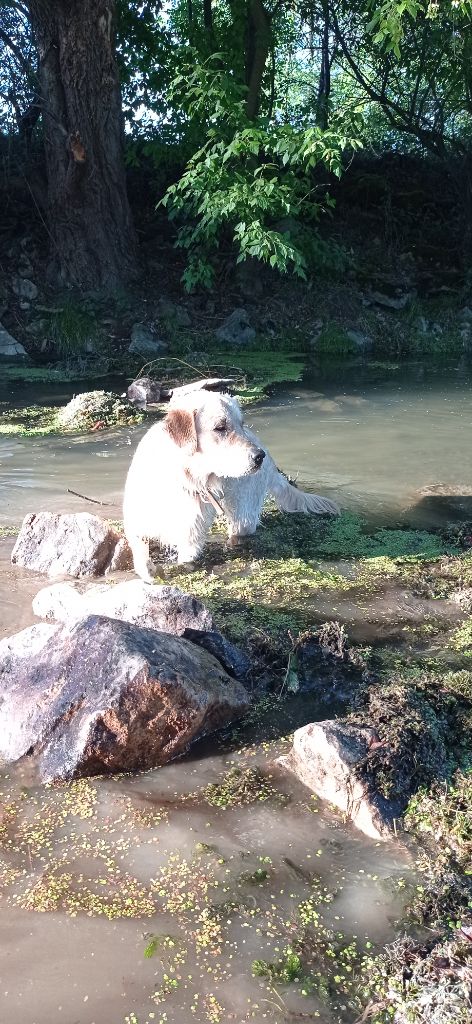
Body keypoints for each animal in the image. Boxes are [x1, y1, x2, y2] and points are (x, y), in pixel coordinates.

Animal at [121, 389, 337, 585]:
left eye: (241, 424)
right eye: (220, 427)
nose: (259, 457)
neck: (185, 477)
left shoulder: (191, 537)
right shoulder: (137, 520)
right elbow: (139, 548)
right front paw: (148, 570)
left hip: (243, 515)